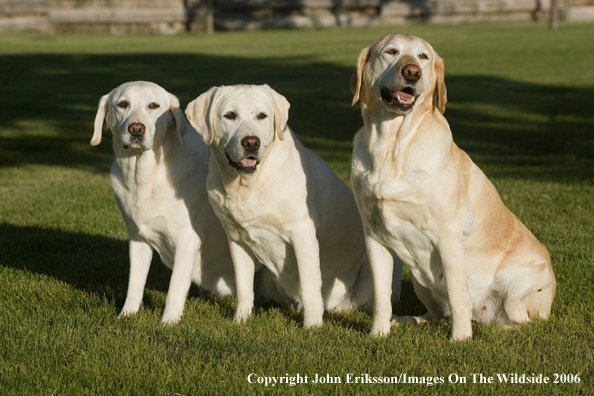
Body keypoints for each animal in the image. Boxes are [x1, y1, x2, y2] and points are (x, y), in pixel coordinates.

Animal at [90, 81, 236, 324]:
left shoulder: (187, 240)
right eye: (122, 104)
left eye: (154, 106)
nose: (136, 129)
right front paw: (126, 315)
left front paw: (168, 323)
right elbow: (135, 284)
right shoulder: (138, 239)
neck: (144, 176)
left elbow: (175, 287)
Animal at [183, 84, 400, 328]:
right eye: (229, 115)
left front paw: (313, 326)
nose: (251, 142)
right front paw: (240, 321)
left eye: (262, 116)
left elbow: (309, 285)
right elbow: (243, 288)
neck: (249, 184)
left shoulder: (302, 235)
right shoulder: (236, 239)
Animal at [350, 34, 552, 340]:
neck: (391, 149)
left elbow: (458, 295)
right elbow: (381, 296)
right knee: (434, 313)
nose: (412, 72)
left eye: (423, 57)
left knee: (522, 321)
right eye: (391, 51)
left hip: (521, 285)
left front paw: (460, 338)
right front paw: (379, 333)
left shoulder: (448, 236)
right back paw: (410, 320)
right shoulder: (374, 236)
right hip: (421, 282)